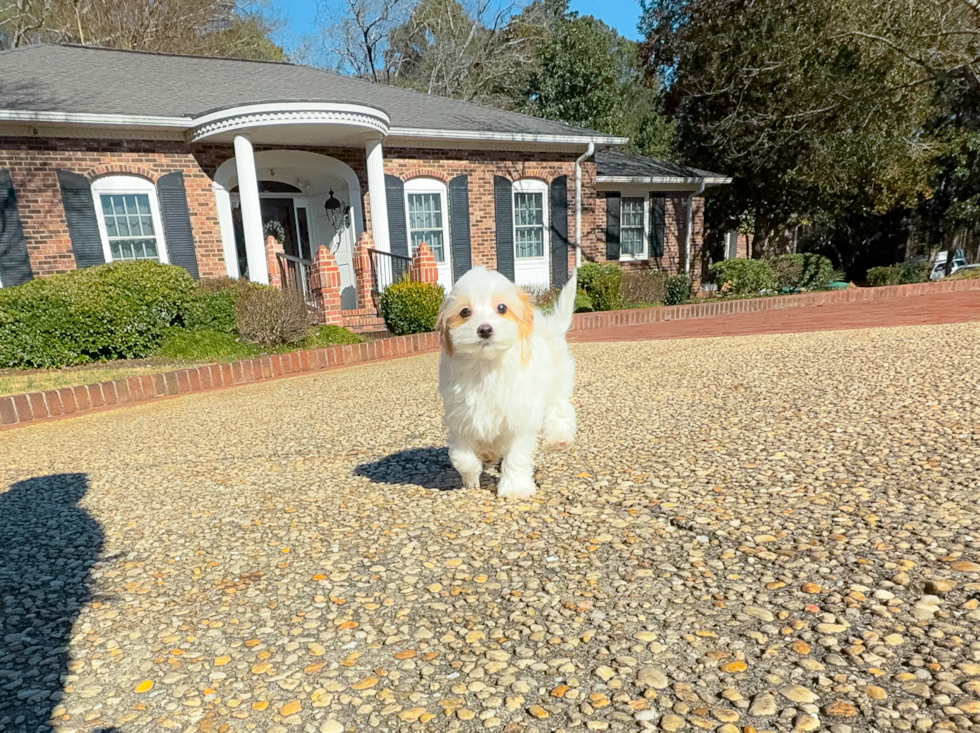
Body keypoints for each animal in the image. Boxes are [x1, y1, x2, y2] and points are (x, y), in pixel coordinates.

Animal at [434, 266, 576, 500]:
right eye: (464, 312)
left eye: (502, 308)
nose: (484, 329)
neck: (486, 365)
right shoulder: (460, 416)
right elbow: (461, 456)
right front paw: (472, 476)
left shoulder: (521, 416)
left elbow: (517, 456)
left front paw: (515, 488)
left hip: (558, 381)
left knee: (560, 408)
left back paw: (559, 438)